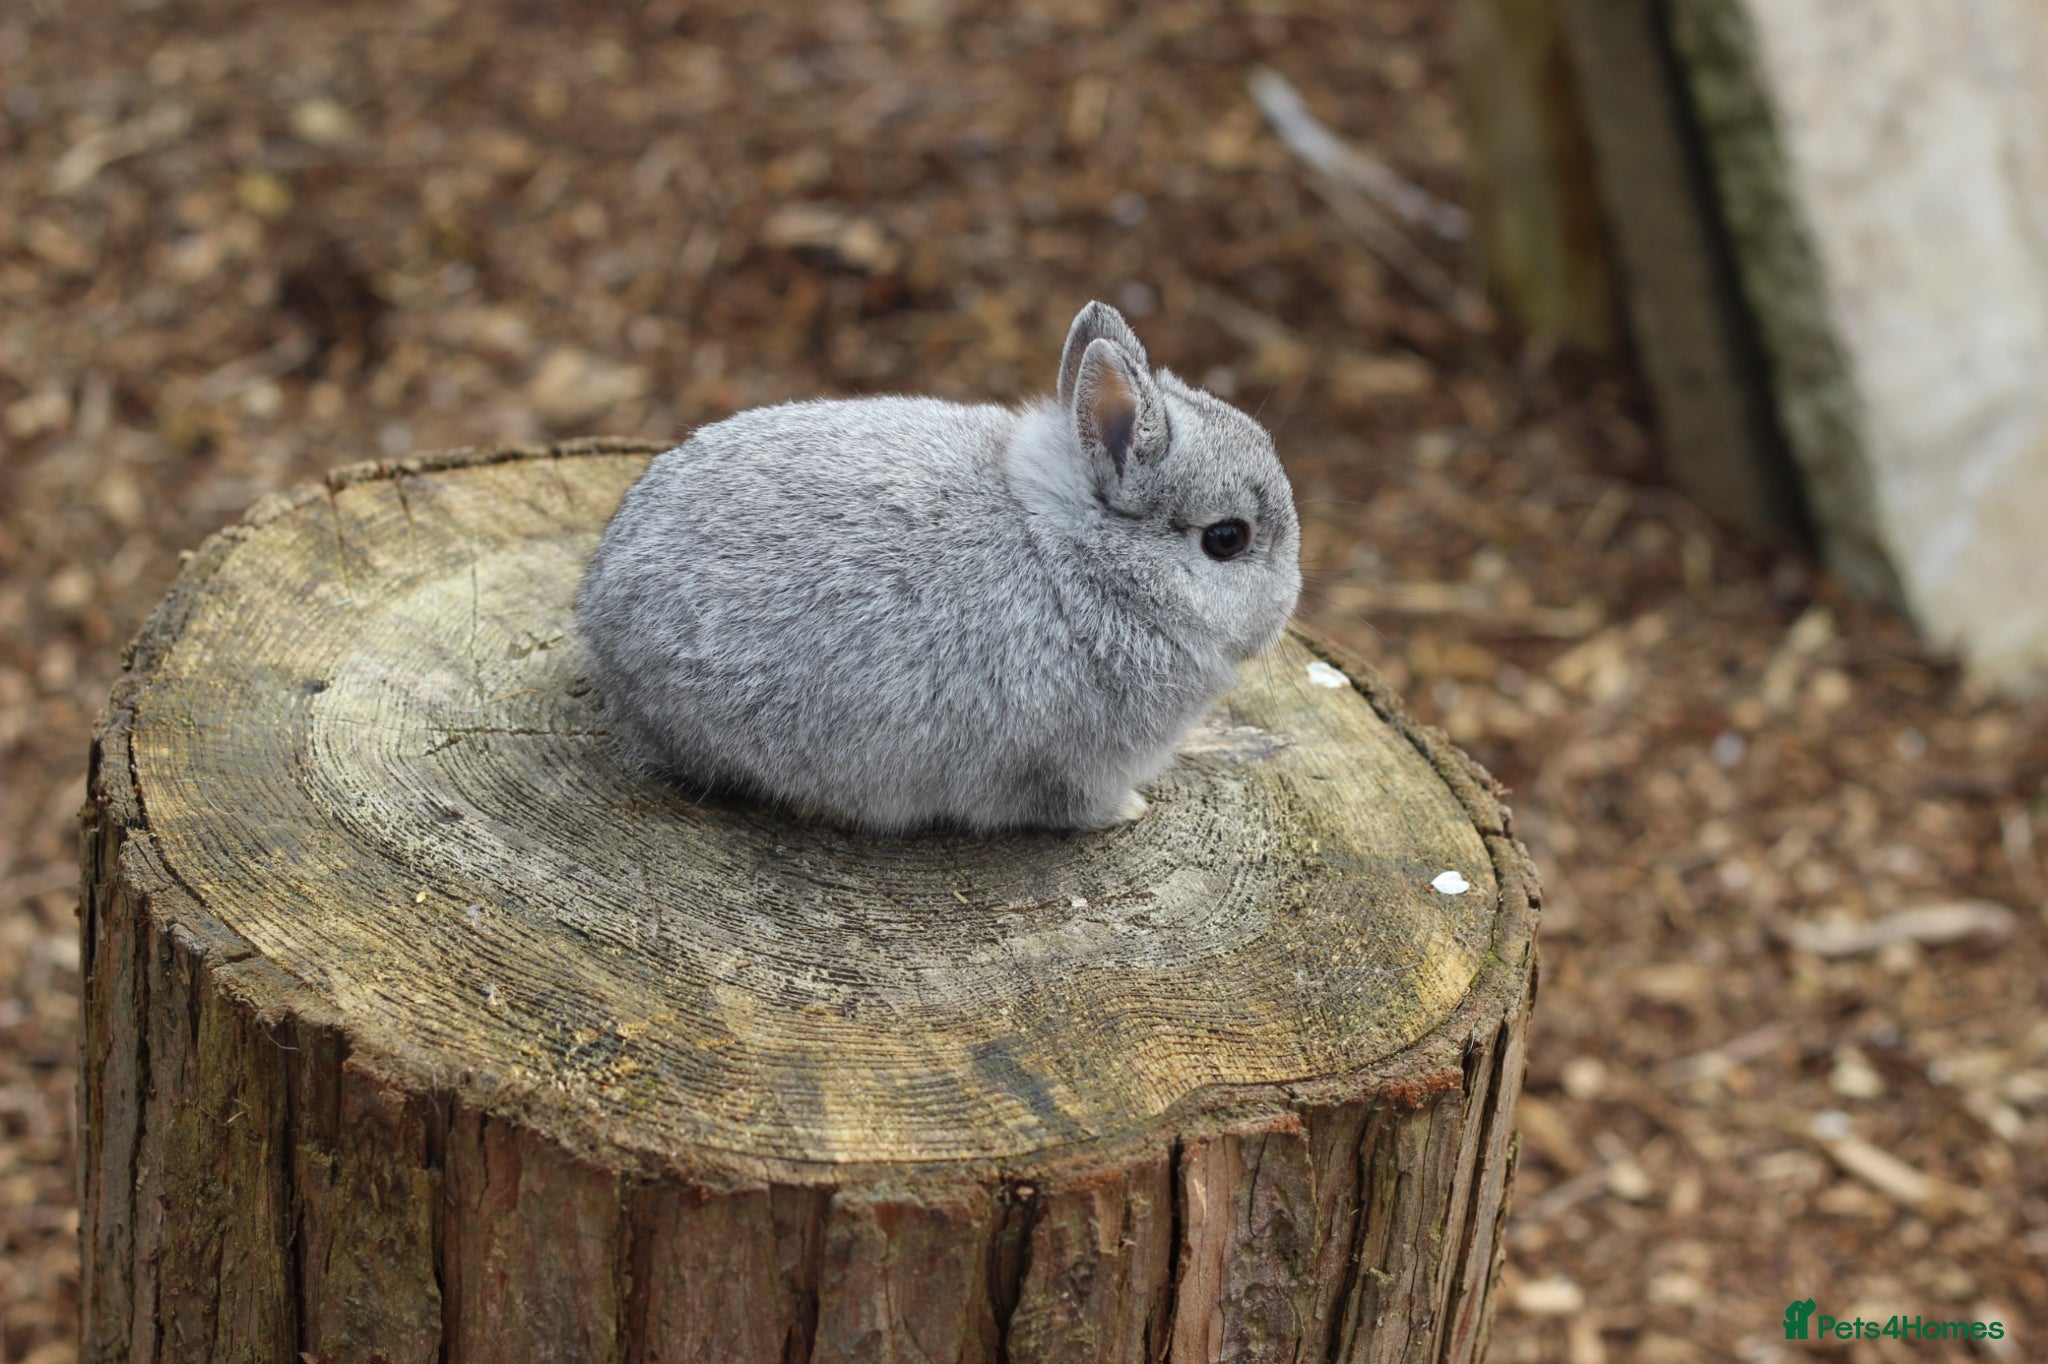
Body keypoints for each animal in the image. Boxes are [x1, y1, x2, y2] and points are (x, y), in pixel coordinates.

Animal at [575, 300, 1301, 834]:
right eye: (1227, 538)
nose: (1289, 603)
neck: (1082, 557)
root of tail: (599, 623)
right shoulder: (1065, 762)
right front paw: (1129, 810)